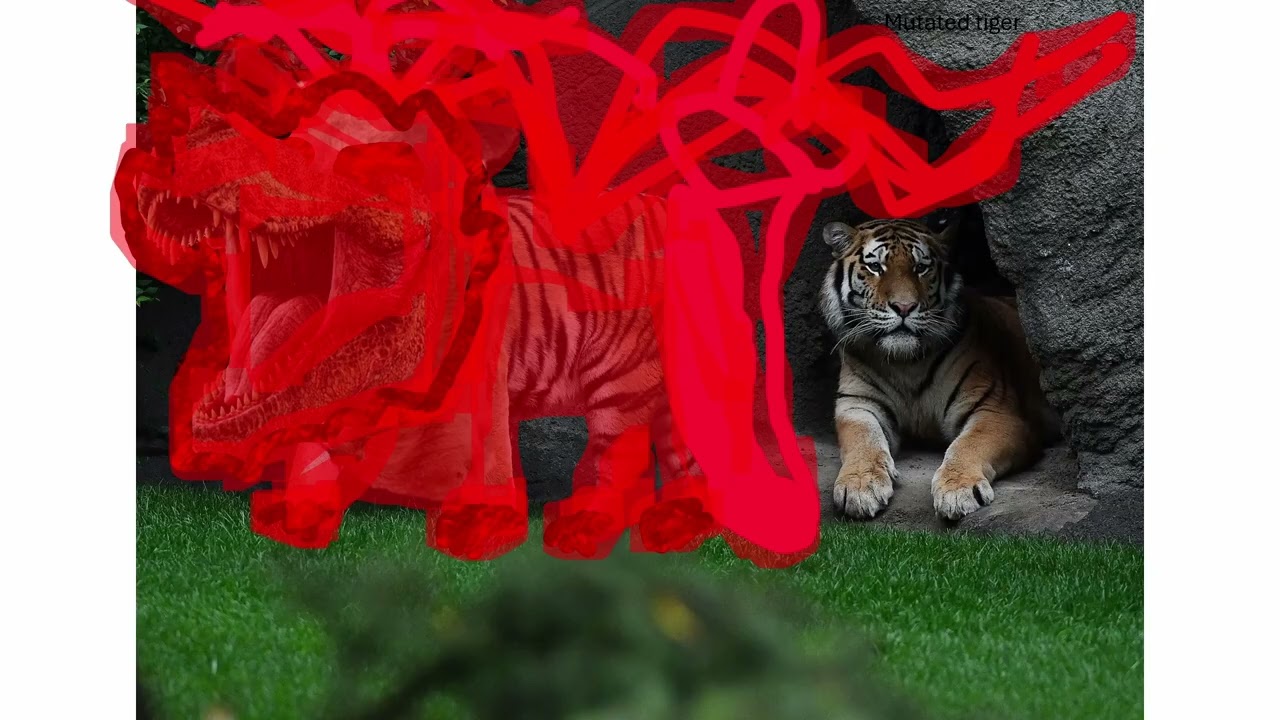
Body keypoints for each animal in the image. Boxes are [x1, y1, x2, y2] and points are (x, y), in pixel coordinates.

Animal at [817, 218, 1058, 521]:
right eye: (875, 267)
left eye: (921, 267)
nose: (904, 307)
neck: (905, 363)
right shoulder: (858, 405)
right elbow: (863, 441)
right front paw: (860, 486)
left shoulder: (994, 409)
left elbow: (968, 444)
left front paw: (958, 490)